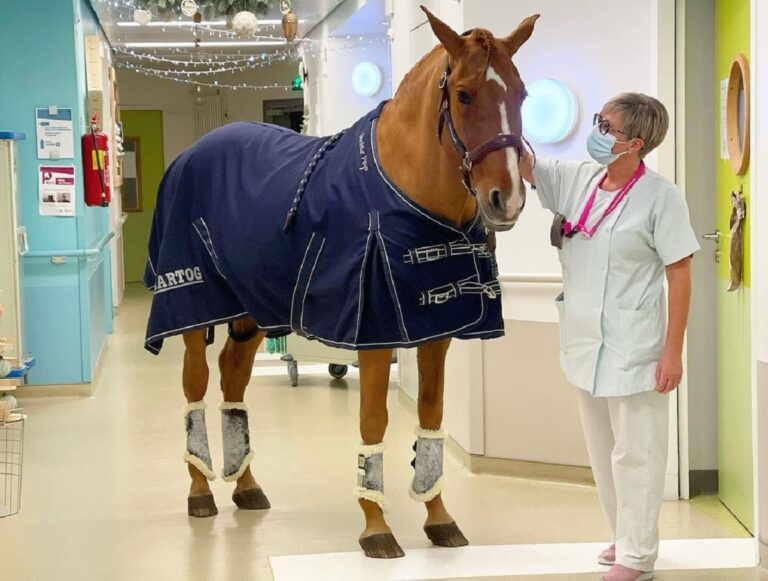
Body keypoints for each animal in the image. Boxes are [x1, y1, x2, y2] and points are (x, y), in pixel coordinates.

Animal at [143, 6, 538, 559]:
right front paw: (376, 527)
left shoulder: (436, 332)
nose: (507, 198)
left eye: (521, 93)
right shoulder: (373, 331)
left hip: (252, 309)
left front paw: (439, 517)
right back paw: (201, 489)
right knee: (195, 385)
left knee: (233, 376)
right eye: (463, 94)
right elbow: (373, 419)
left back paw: (246, 484)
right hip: (193, 307)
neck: (404, 191)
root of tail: (191, 154)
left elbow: (431, 416)